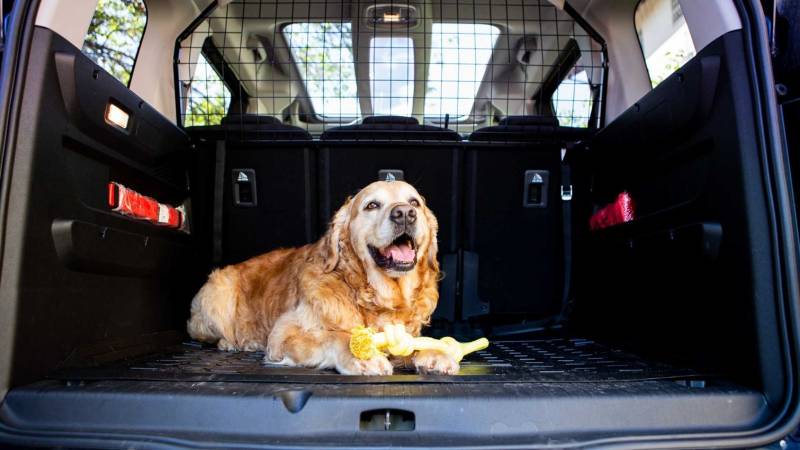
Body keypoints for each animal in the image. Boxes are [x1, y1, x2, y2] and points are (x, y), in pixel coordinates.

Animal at [183, 181, 456, 374]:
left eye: (414, 202)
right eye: (372, 205)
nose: (405, 213)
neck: (372, 296)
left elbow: (417, 342)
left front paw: (438, 352)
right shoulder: (285, 333)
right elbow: (337, 337)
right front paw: (362, 356)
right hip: (216, 298)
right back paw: (234, 342)